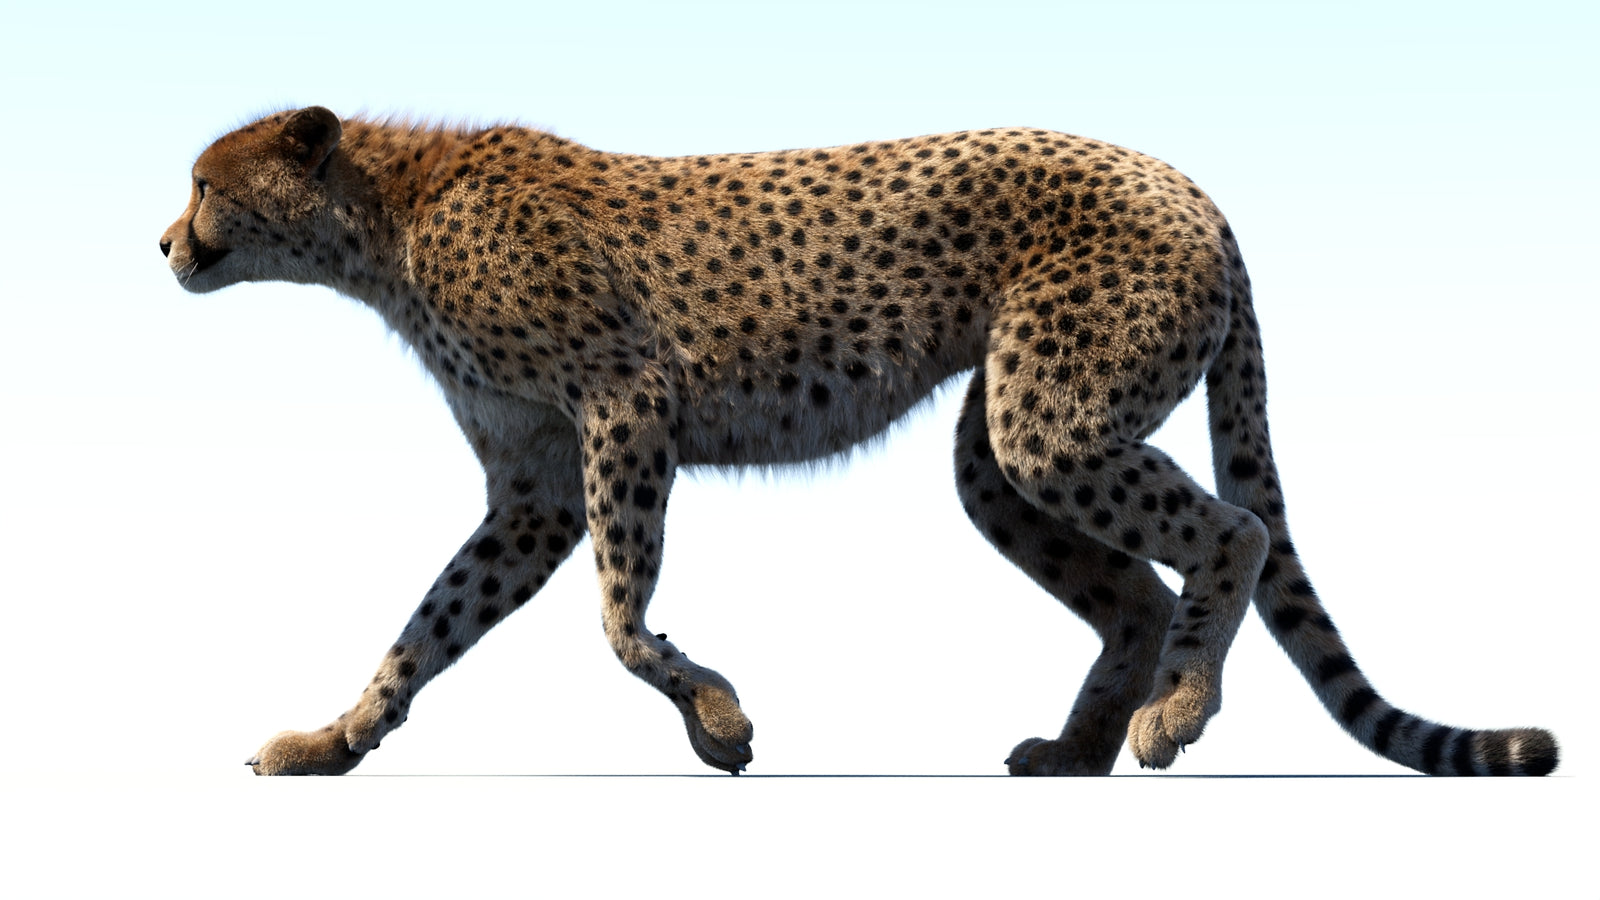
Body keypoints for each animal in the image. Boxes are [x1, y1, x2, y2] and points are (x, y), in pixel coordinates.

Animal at [160, 106, 1558, 776]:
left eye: (205, 183)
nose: (165, 241)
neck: (381, 223)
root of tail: (1189, 184)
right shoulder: (534, 489)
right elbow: (430, 624)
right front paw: (337, 739)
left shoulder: (627, 402)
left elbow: (617, 616)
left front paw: (716, 720)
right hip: (1001, 450)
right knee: (1129, 592)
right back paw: (1077, 751)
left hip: (1050, 419)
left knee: (1236, 528)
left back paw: (1174, 714)